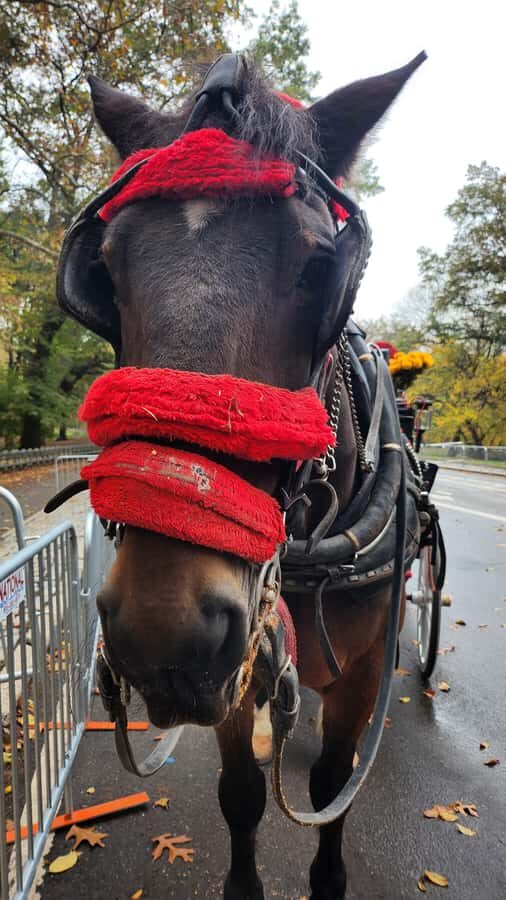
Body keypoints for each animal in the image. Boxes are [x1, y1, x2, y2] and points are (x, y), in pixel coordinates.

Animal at [53, 52, 426, 899]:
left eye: (321, 265)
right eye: (107, 265)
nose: (163, 630)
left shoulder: (359, 676)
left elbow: (331, 782)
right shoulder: (235, 660)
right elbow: (242, 795)